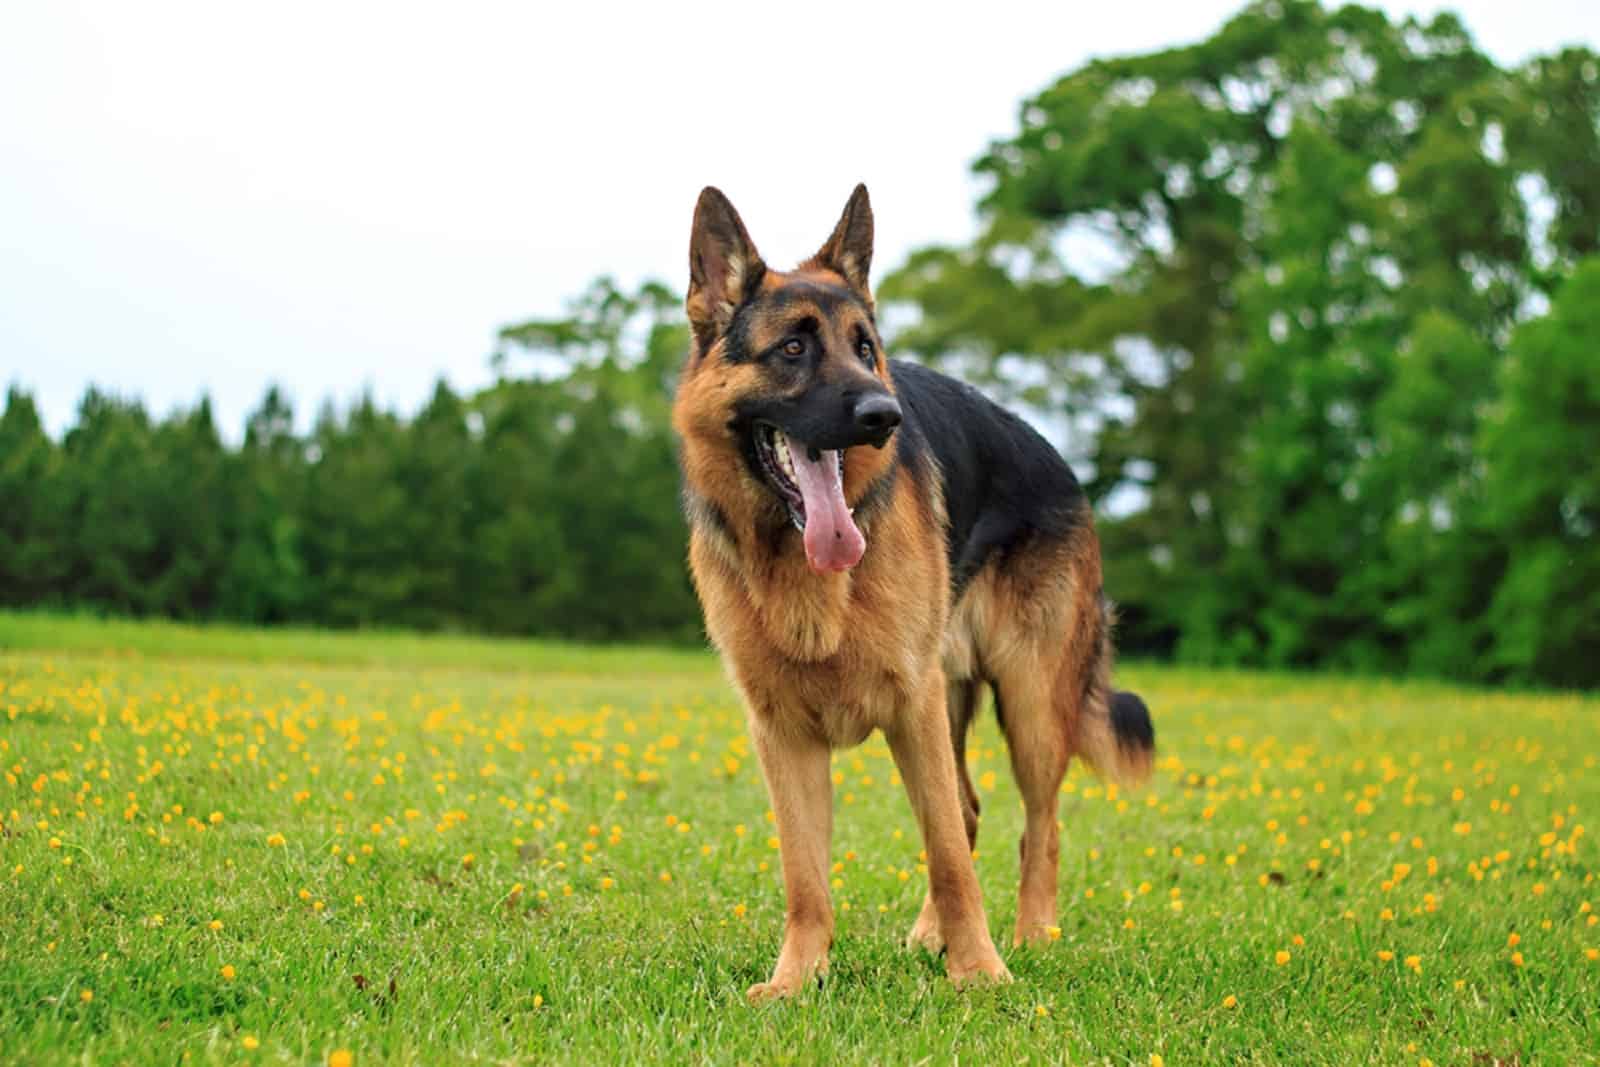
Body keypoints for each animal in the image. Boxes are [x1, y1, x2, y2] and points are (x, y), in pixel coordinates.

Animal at [668, 185, 1158, 1004]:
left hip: (1028, 703)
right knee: (966, 808)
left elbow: (951, 860)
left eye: (866, 347)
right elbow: (807, 879)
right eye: (792, 349)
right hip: (953, 701)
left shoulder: (912, 705)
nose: (883, 415)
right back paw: (933, 936)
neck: (802, 568)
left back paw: (1031, 934)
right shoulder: (783, 735)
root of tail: (1060, 460)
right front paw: (798, 978)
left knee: (1035, 824)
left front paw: (981, 973)